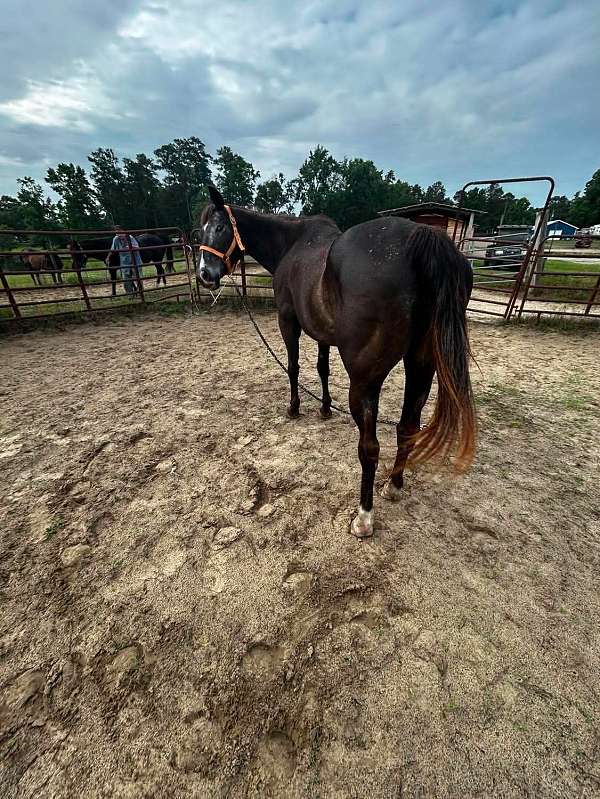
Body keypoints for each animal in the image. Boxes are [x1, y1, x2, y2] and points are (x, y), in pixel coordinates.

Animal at [198, 185, 476, 538]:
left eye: (219, 228)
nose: (204, 275)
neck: (292, 244)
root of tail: (420, 238)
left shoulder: (288, 320)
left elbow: (294, 367)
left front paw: (294, 407)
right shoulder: (322, 333)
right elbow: (322, 368)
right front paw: (325, 408)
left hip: (366, 381)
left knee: (370, 448)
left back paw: (364, 517)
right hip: (421, 367)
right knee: (407, 428)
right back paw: (393, 485)